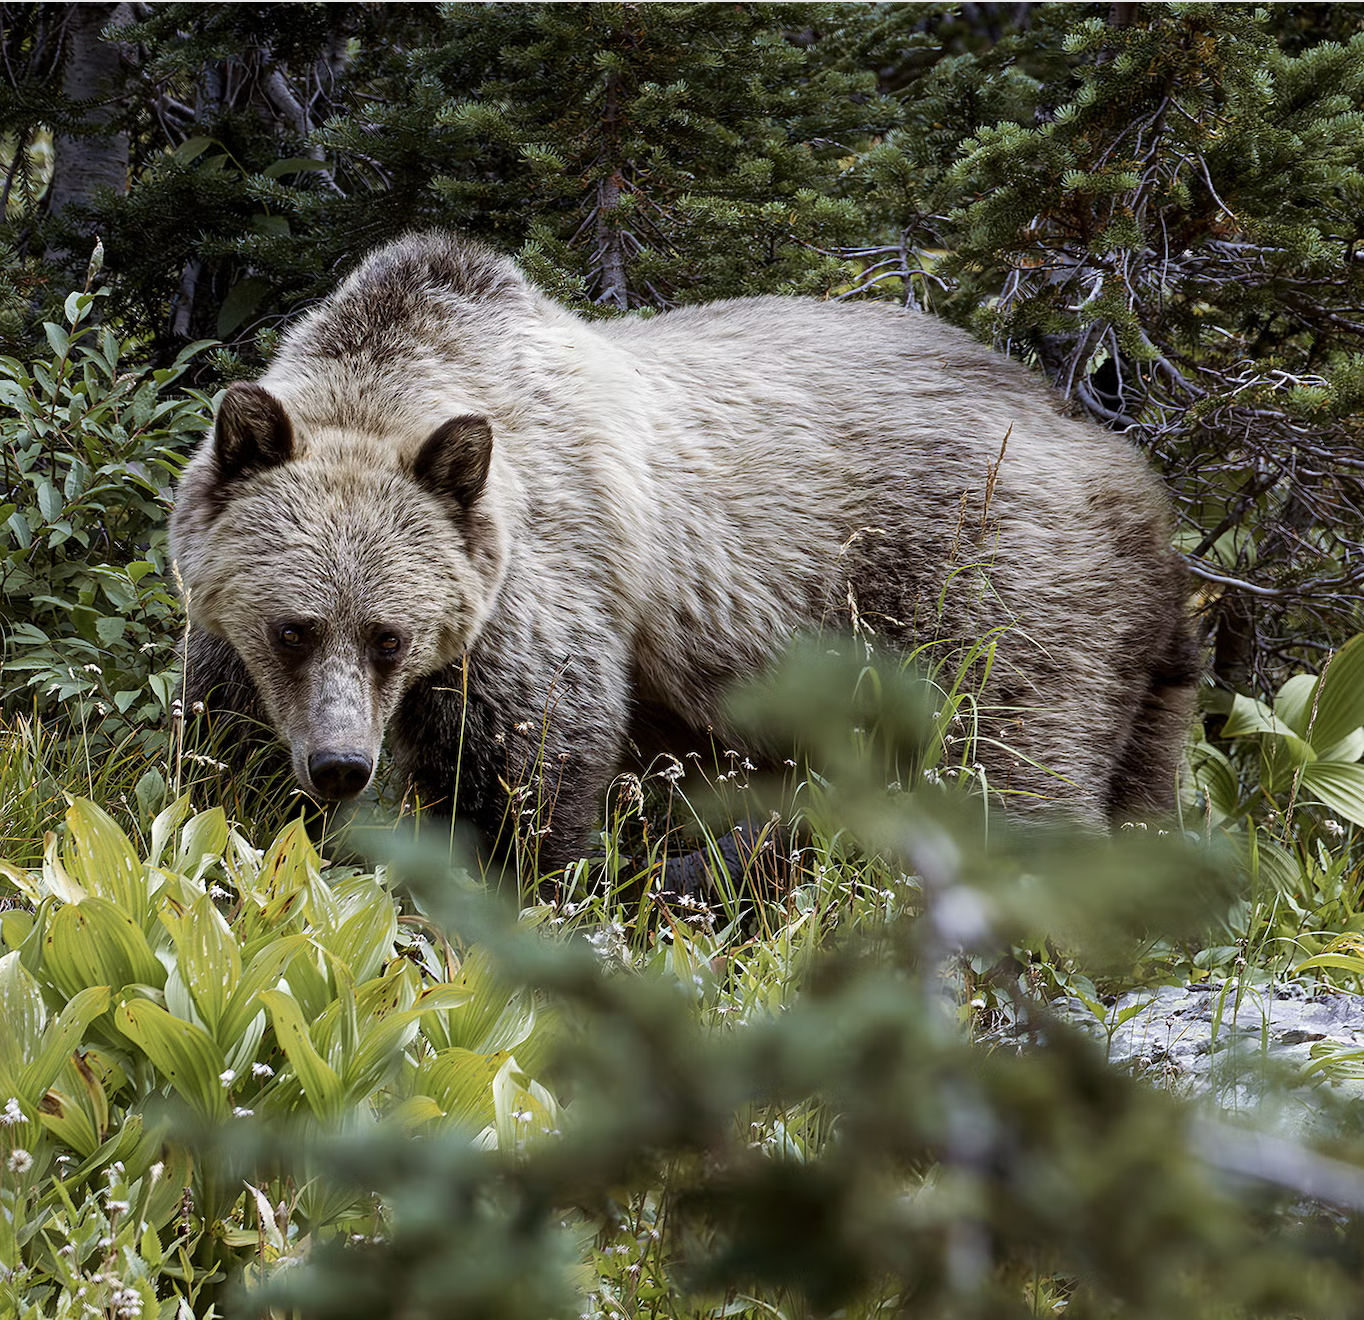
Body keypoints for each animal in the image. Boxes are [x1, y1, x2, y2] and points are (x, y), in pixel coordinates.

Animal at [171, 230, 1197, 877]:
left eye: (389, 635)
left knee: (1011, 756)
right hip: (1135, 655)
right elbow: (221, 752)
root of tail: (1131, 470)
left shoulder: (537, 588)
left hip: (989, 575)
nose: (341, 764)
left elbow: (531, 764)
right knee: (1139, 772)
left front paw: (522, 878)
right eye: (296, 628)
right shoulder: (229, 627)